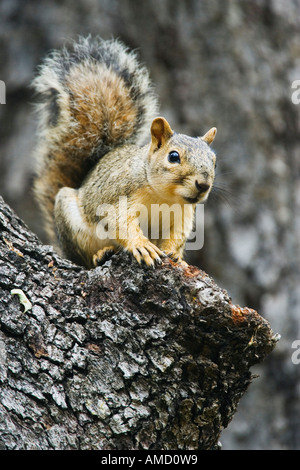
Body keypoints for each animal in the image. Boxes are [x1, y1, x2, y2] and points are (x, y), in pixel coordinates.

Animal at [31, 37, 217, 268]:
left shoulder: (183, 216)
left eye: (214, 161)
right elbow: (120, 223)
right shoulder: (119, 197)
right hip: (71, 221)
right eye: (173, 156)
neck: (164, 197)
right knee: (86, 259)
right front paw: (141, 245)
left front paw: (175, 255)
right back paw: (101, 253)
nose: (203, 184)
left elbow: (176, 237)